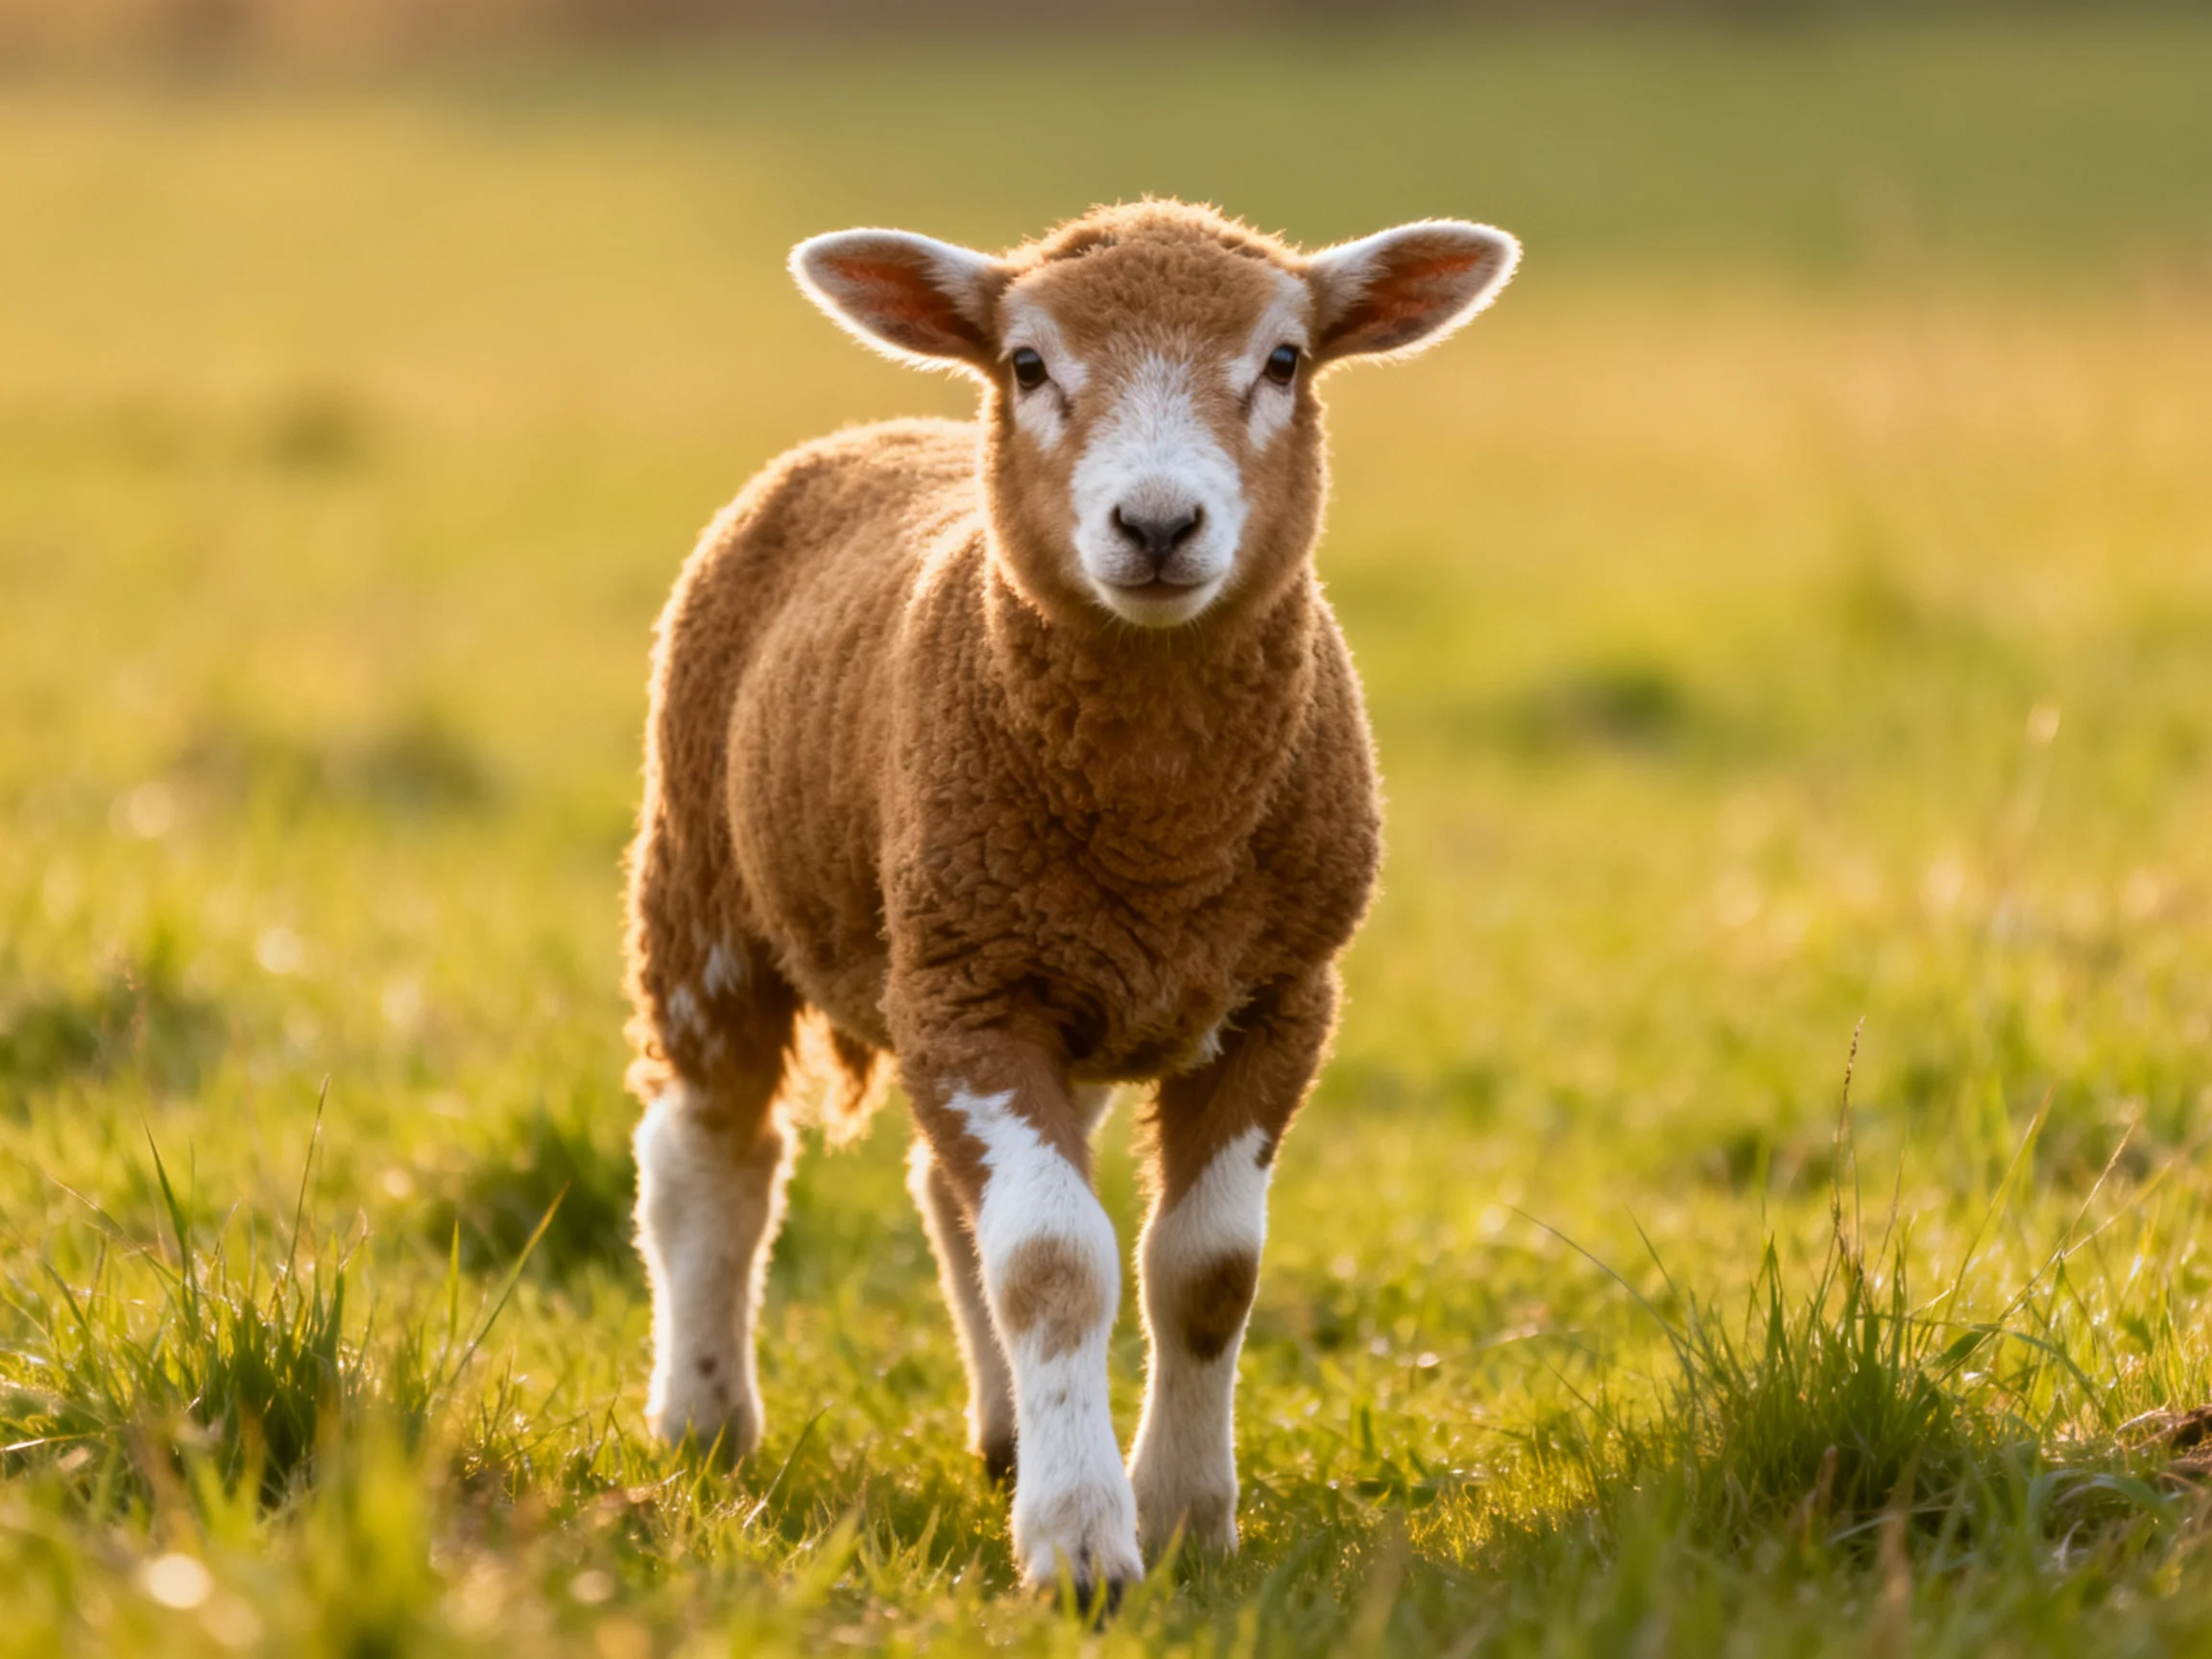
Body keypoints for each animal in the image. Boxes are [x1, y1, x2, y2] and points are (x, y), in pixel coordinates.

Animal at [622, 199, 1519, 1599]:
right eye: (1030, 363)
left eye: (1284, 359)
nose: (1155, 525)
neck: (1162, 828)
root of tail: (881, 429)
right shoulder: (967, 988)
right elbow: (1053, 1265)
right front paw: (1083, 1545)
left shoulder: (1280, 995)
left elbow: (1204, 1271)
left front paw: (1188, 1511)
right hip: (705, 886)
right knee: (709, 1155)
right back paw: (705, 1419)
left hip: (1060, 977)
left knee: (947, 1199)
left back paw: (1003, 1436)